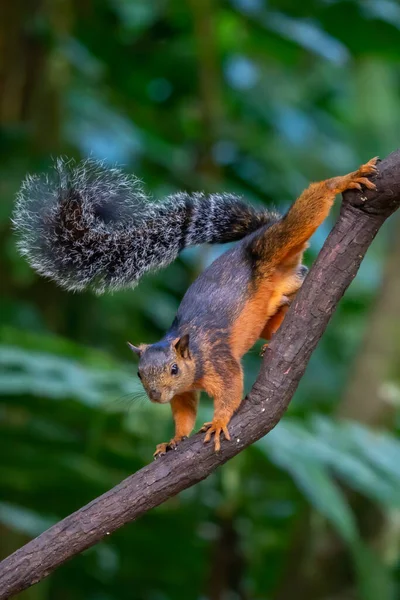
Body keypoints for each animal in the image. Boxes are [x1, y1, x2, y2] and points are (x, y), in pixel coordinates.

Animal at [13, 155, 378, 454]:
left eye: (174, 369)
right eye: (139, 373)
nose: (156, 396)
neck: (192, 362)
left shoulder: (219, 360)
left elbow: (231, 389)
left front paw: (218, 423)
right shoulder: (183, 393)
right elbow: (183, 412)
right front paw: (174, 439)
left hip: (272, 245)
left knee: (304, 212)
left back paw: (343, 180)